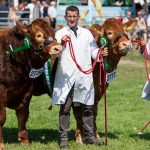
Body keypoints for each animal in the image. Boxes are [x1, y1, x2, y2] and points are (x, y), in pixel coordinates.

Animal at [0, 17, 62, 149]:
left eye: (53, 33)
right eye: (38, 35)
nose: (58, 48)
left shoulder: (27, 90)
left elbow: (23, 115)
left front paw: (24, 141)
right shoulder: (1, 92)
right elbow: (2, 117)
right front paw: (1, 143)